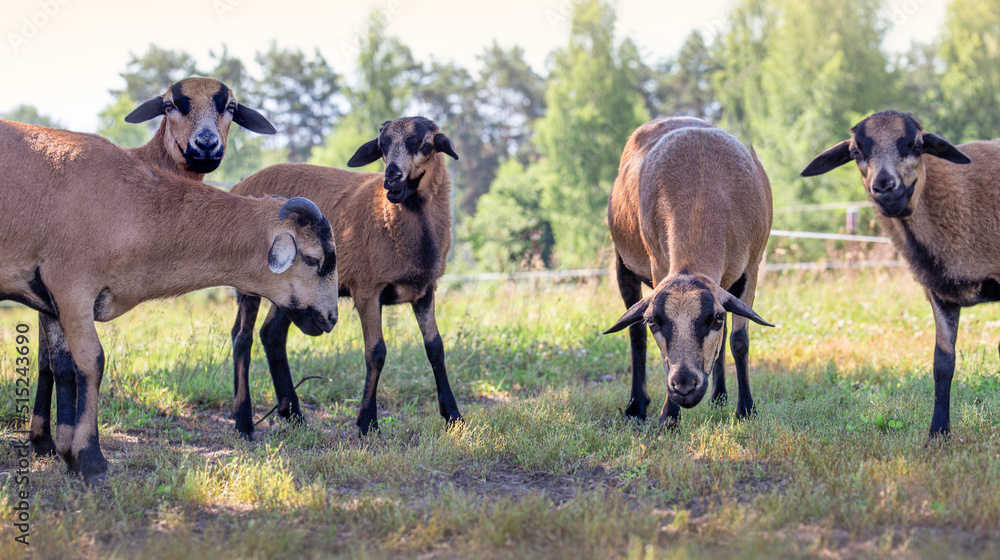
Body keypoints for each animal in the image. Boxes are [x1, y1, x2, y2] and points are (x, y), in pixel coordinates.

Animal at [1, 119, 338, 482]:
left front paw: (65, 451)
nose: (331, 317)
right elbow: (91, 362)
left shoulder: (50, 295)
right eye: (313, 259)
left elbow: (60, 365)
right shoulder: (71, 285)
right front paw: (91, 459)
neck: (132, 207)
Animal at [28, 77, 277, 459]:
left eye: (231, 107)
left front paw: (46, 440)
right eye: (170, 104)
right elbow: (51, 361)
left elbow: (50, 359)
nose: (206, 146)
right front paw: (45, 441)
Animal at [227, 116, 462, 438]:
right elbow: (376, 352)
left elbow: (436, 348)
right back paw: (243, 421)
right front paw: (367, 422)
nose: (392, 179)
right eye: (381, 147)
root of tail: (240, 184)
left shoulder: (425, 289)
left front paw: (453, 416)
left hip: (293, 289)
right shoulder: (367, 289)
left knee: (270, 335)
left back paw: (293, 414)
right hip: (251, 281)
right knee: (242, 338)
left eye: (426, 146)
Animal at [603, 117, 775, 427]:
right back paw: (636, 406)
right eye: (654, 322)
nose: (684, 387)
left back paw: (720, 396)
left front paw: (746, 410)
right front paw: (669, 419)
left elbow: (738, 341)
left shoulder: (751, 267)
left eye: (715, 319)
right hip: (623, 263)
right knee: (635, 335)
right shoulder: (659, 266)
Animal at [801, 109, 992, 438]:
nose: (884, 187)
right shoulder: (939, 294)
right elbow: (943, 363)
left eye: (917, 146)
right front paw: (937, 434)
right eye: (855, 152)